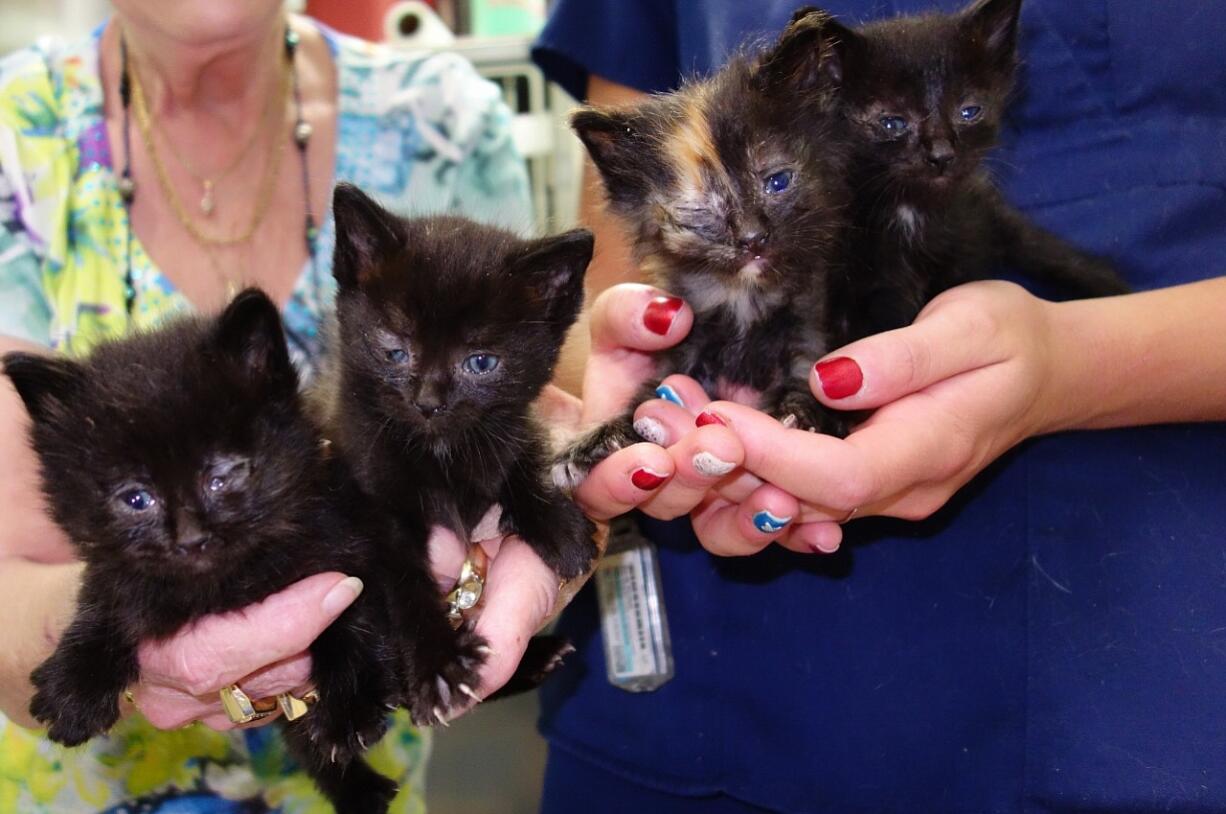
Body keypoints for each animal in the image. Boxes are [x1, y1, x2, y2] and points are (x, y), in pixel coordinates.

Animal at [1, 290, 421, 814]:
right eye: (135, 498)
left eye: (222, 475)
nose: (189, 538)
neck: (225, 583)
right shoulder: (116, 569)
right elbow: (106, 602)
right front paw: (75, 684)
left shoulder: (344, 540)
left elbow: (354, 621)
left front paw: (349, 708)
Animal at [316, 186, 598, 686]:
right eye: (395, 350)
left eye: (480, 362)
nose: (428, 402)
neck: (439, 450)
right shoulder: (368, 490)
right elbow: (403, 578)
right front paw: (438, 662)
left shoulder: (511, 422)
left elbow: (521, 455)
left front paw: (557, 524)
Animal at [556, 22, 853, 485]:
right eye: (700, 211)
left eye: (778, 182)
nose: (753, 238)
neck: (744, 298)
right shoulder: (683, 352)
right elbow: (649, 398)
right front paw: (599, 439)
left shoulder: (811, 326)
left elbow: (808, 376)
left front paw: (802, 412)